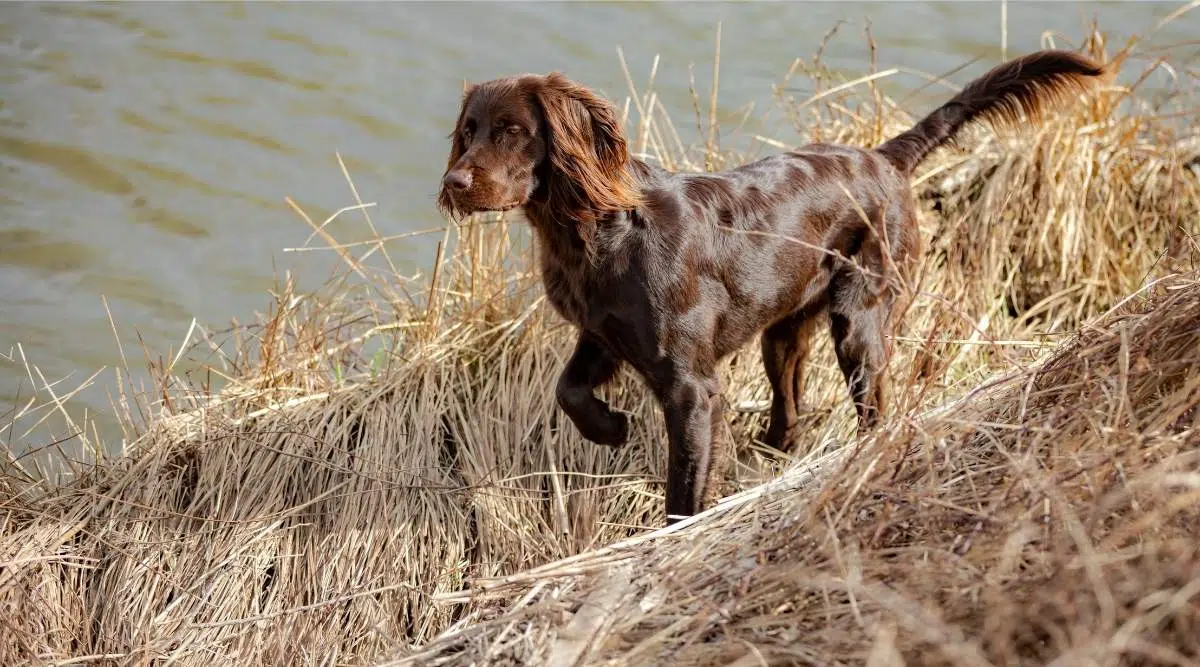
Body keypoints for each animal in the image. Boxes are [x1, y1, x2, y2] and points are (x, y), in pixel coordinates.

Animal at [436, 49, 1108, 523]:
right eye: (468, 130)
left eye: (513, 130)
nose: (454, 182)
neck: (593, 232)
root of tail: (884, 158)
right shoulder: (602, 335)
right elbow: (567, 389)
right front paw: (612, 428)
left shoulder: (691, 387)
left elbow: (684, 486)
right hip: (782, 333)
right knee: (790, 411)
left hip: (860, 319)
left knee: (873, 407)